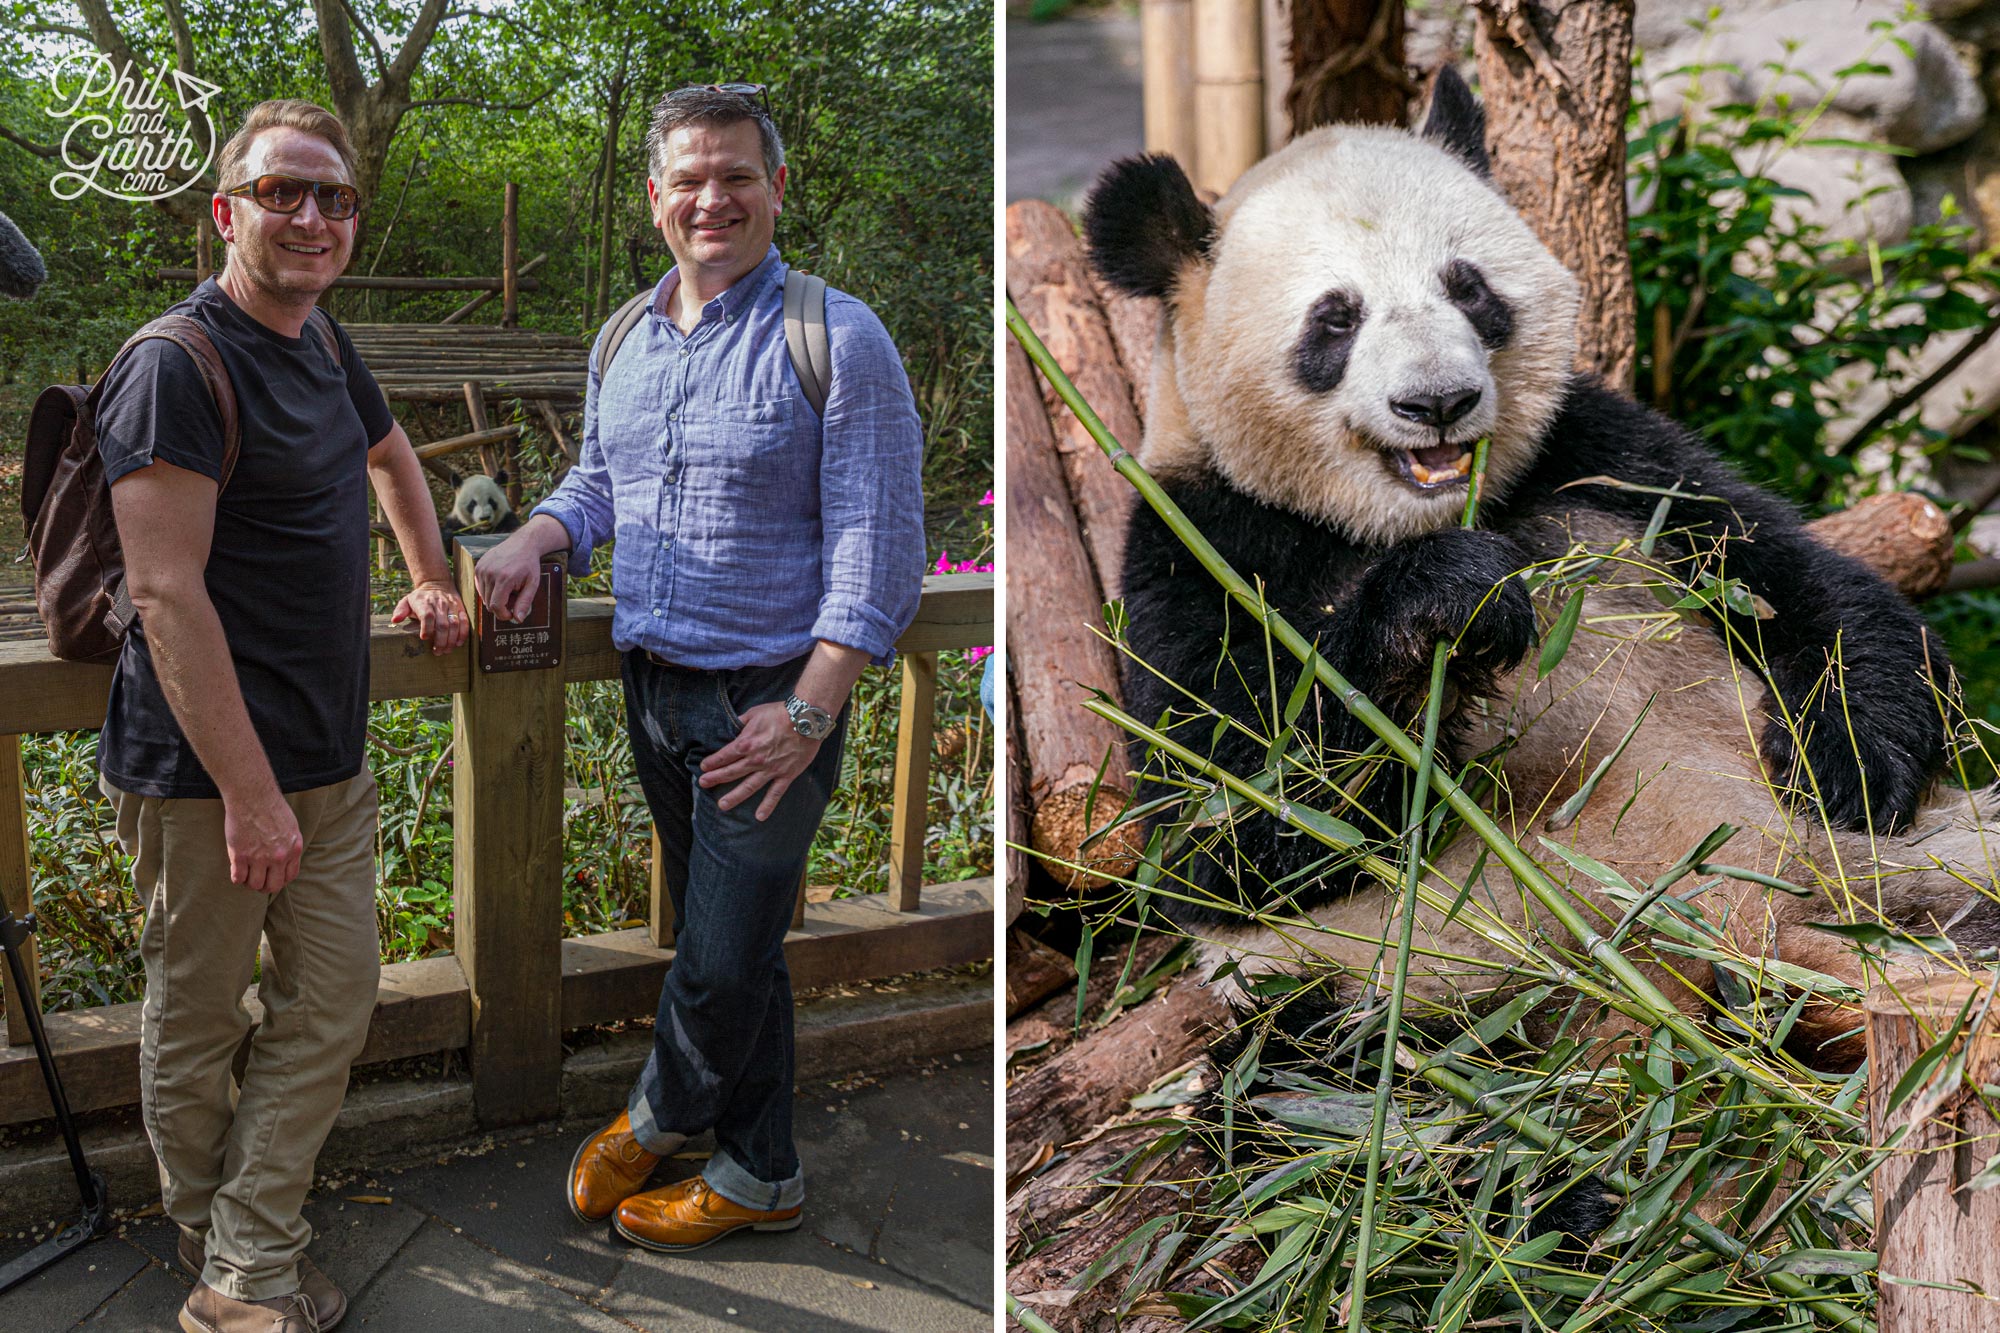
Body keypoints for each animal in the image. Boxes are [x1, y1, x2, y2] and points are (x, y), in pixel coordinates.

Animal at [1096, 70, 2000, 1072]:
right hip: (1418, 981)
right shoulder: (1201, 544)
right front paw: (1448, 603)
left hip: (1915, 854)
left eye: (1468, 287)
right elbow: (1229, 827)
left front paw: (1850, 766)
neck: (1399, 520)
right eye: (1336, 317)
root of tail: (1752, 928)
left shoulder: (1605, 457)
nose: (1438, 401)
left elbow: (1808, 585)